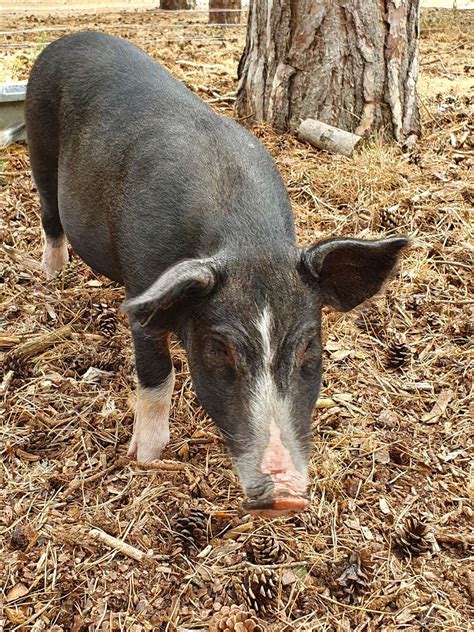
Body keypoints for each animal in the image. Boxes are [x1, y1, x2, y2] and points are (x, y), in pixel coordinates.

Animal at [25, 32, 408, 516]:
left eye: (309, 346)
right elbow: (158, 373)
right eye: (218, 349)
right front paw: (146, 458)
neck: (247, 241)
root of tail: (68, 38)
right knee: (48, 214)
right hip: (38, 142)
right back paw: (52, 275)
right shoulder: (143, 287)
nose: (285, 497)